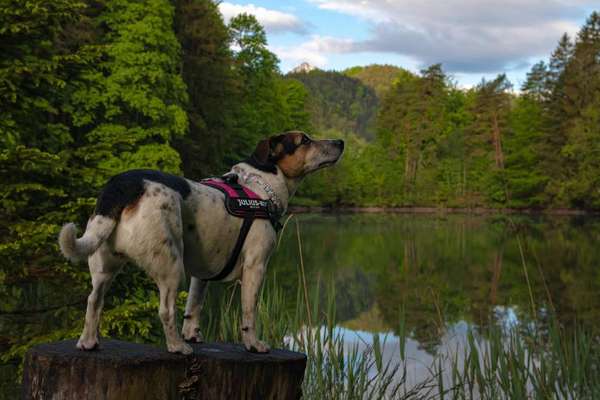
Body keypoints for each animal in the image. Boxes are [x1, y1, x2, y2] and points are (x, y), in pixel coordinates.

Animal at [59, 131, 346, 354]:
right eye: (304, 140)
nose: (341, 141)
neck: (261, 186)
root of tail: (122, 185)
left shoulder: (202, 271)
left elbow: (194, 306)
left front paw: (193, 334)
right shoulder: (256, 266)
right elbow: (249, 312)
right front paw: (253, 344)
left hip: (103, 263)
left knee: (93, 301)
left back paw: (89, 342)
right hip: (171, 265)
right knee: (165, 310)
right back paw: (177, 346)